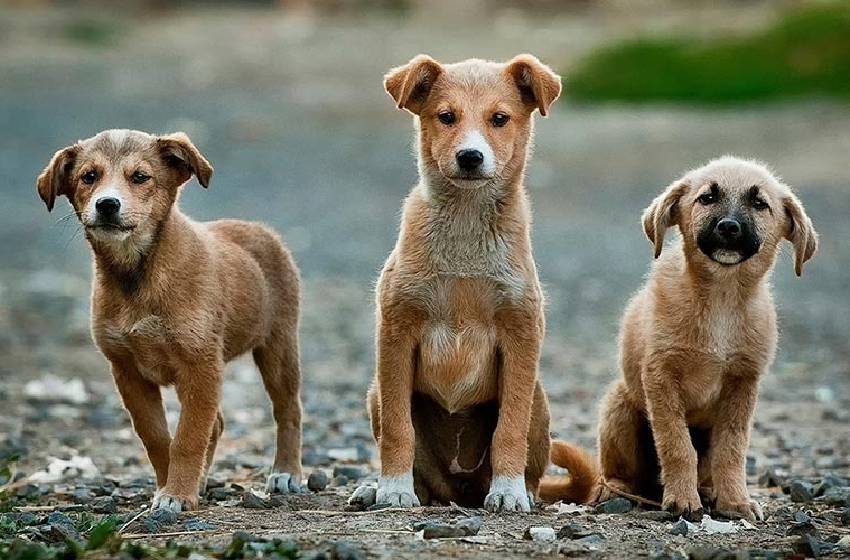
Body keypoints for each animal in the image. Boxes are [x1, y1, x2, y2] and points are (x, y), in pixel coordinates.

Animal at [36, 129, 304, 510]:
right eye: (89, 176)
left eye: (140, 177)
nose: (107, 205)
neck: (138, 276)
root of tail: (259, 229)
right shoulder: (127, 371)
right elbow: (158, 438)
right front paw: (170, 487)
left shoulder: (200, 365)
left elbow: (189, 437)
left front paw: (176, 494)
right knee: (217, 423)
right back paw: (202, 481)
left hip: (278, 348)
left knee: (288, 411)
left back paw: (286, 472)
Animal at [348, 55, 560, 512]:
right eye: (446, 117)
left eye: (500, 119)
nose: (470, 157)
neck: (465, 226)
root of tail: (458, 489)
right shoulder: (396, 331)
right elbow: (398, 429)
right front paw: (392, 488)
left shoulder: (521, 334)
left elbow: (509, 428)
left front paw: (509, 491)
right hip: (375, 392)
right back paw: (378, 487)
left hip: (539, 399)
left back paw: (520, 490)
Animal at [540, 156, 820, 520]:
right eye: (707, 198)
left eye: (760, 204)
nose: (728, 227)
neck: (721, 298)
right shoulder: (661, 377)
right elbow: (676, 445)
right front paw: (683, 500)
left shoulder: (743, 383)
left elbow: (732, 450)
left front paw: (735, 501)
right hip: (619, 406)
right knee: (617, 473)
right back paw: (617, 491)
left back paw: (709, 491)